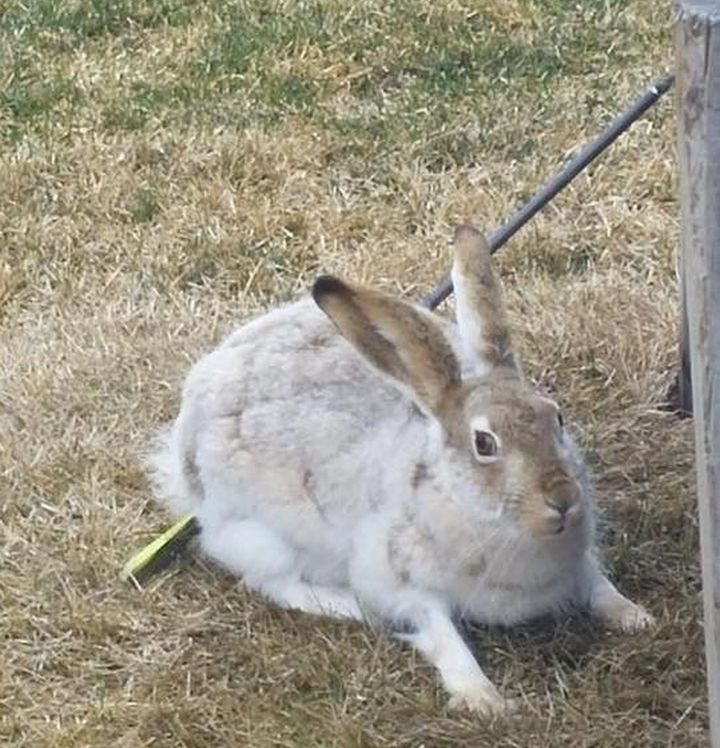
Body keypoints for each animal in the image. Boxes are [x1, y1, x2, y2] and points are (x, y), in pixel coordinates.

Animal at [148, 223, 654, 716]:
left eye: (557, 417)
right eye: (484, 443)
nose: (563, 498)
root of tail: (185, 429)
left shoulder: (576, 563)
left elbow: (597, 583)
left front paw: (635, 616)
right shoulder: (398, 580)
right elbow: (441, 635)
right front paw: (483, 699)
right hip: (260, 537)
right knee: (274, 582)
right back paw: (352, 607)